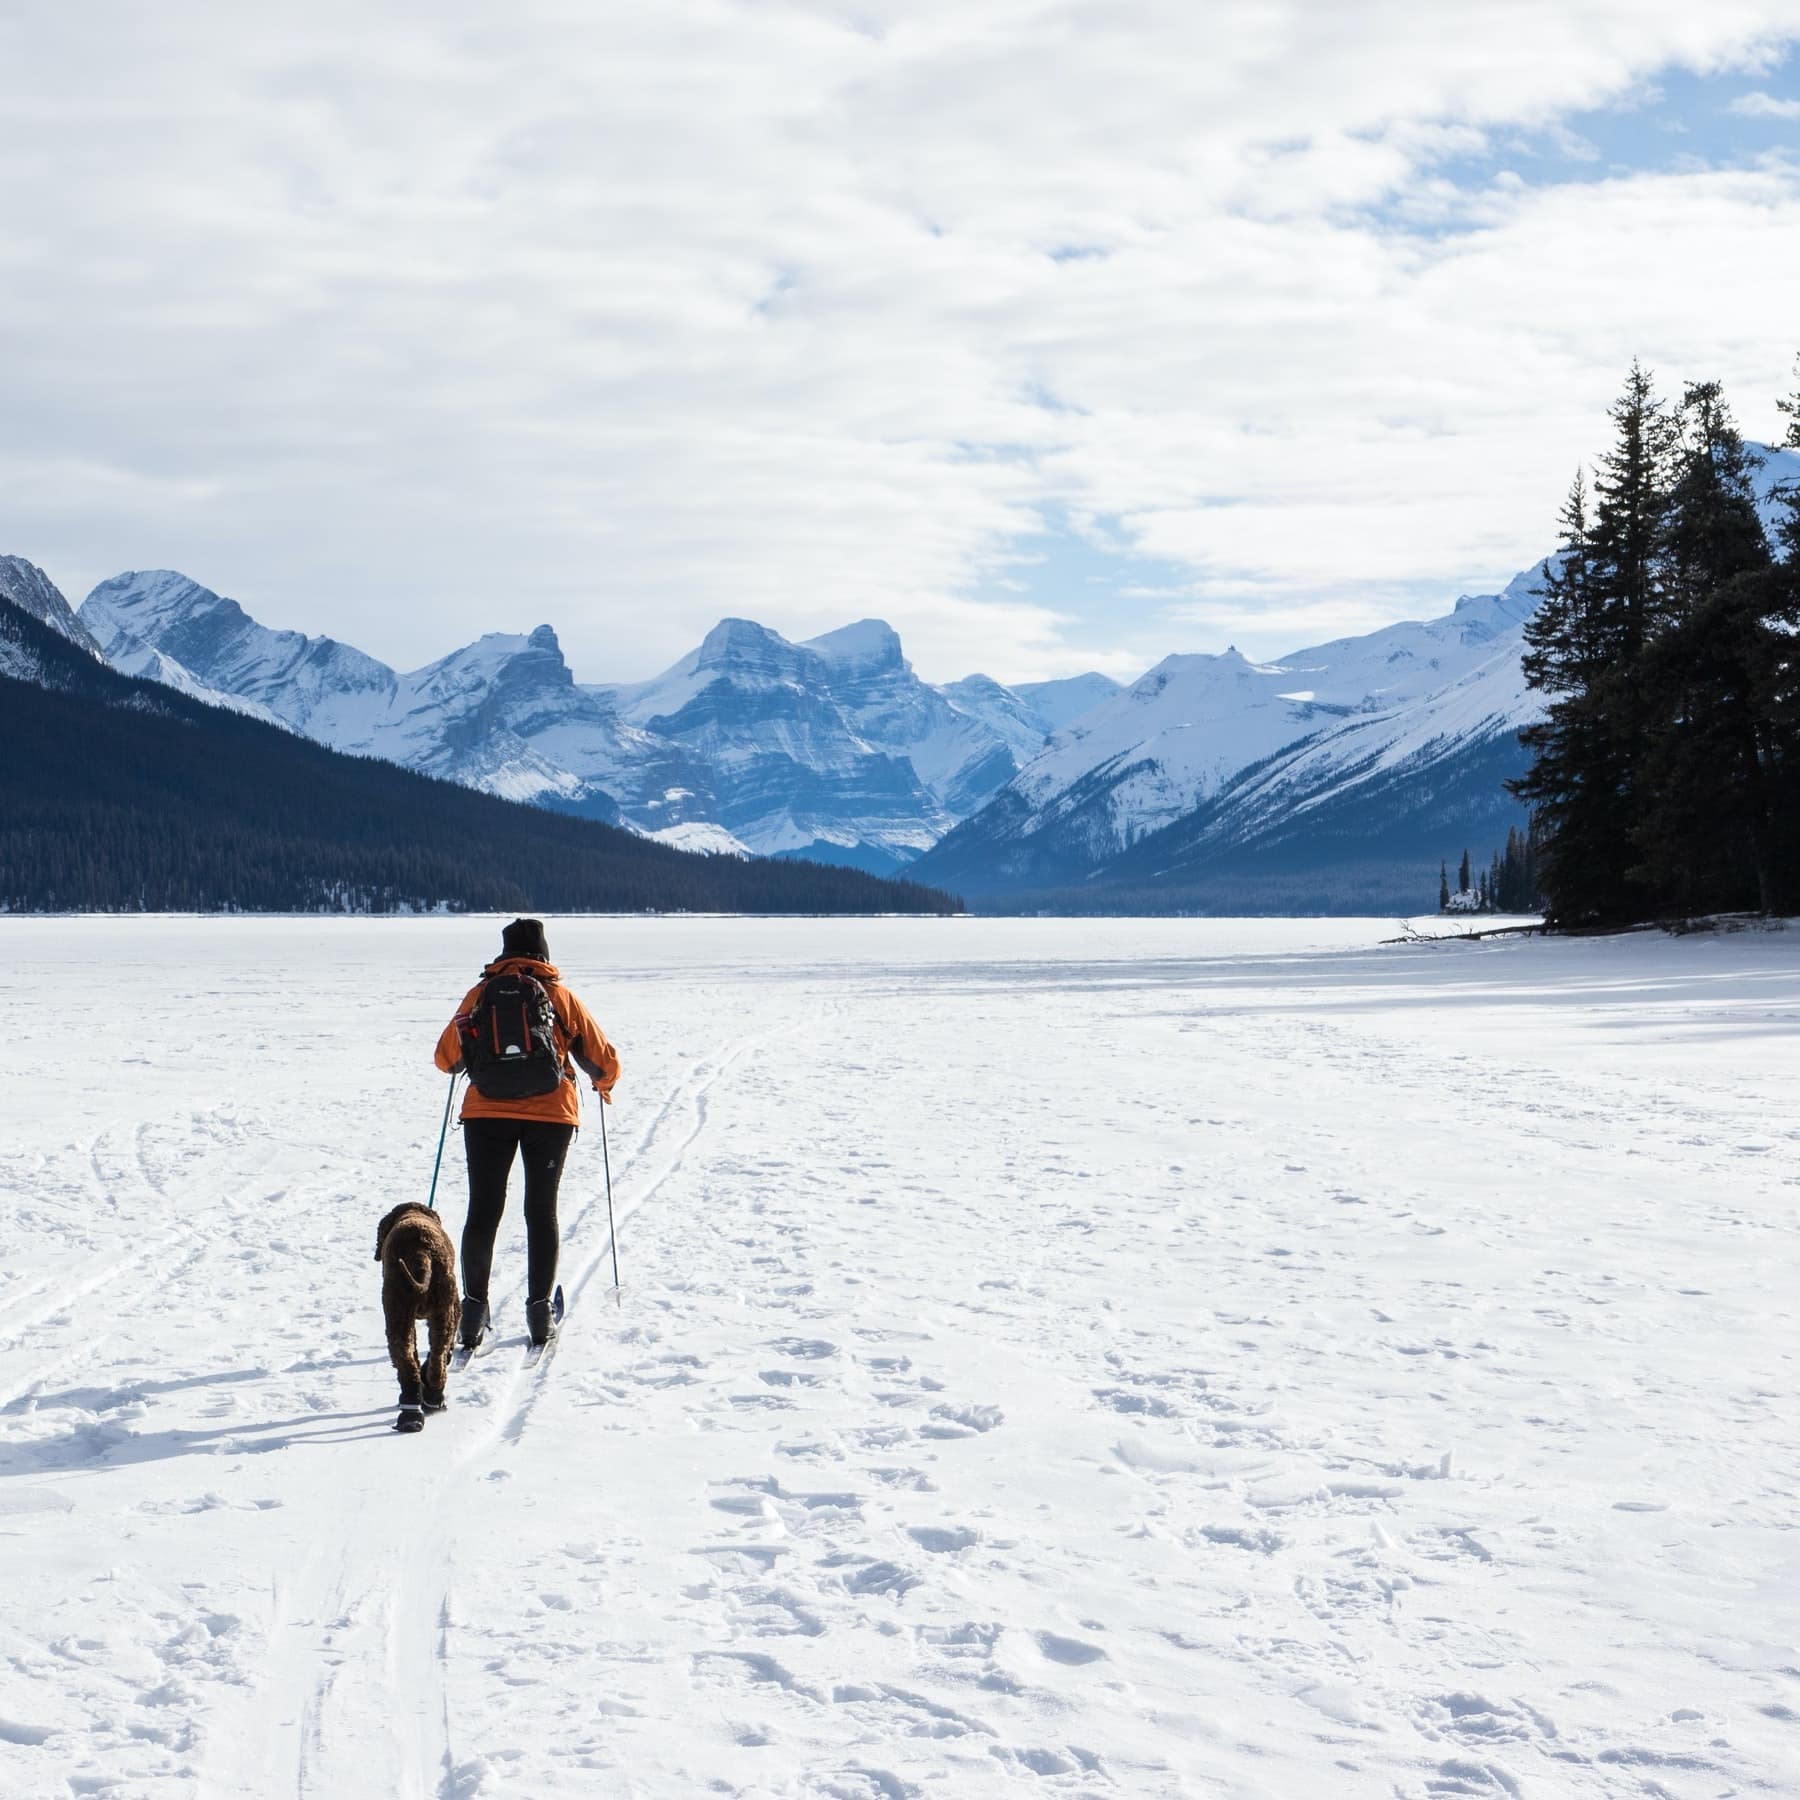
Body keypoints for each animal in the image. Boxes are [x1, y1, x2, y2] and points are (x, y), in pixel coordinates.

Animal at [367, 1202, 457, 1440]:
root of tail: (421, 1254)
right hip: (438, 1311)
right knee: (434, 1360)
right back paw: (429, 1402)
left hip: (401, 1312)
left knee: (416, 1361)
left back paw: (413, 1413)